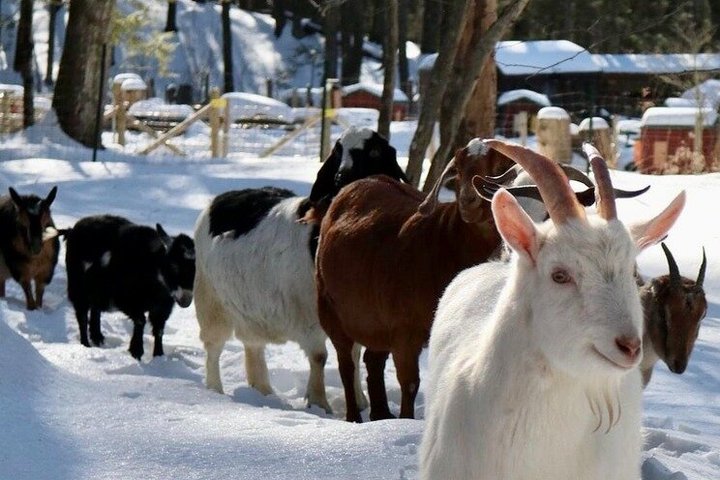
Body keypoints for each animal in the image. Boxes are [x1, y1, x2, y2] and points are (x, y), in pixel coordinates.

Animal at [64, 215, 195, 360]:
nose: (186, 300)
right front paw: (136, 351)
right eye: (173, 267)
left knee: (95, 309)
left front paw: (159, 355)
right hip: (77, 288)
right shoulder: (127, 300)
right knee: (82, 316)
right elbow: (141, 320)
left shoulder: (163, 307)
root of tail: (74, 228)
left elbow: (159, 329)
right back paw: (86, 344)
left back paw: (97, 337)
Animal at [193, 127, 407, 413]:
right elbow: (319, 356)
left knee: (253, 345)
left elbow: (353, 353)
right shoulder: (308, 315)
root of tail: (219, 199)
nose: (341, 177)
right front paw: (319, 403)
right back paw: (215, 389)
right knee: (213, 347)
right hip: (210, 300)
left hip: (251, 308)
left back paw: (263, 392)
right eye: (336, 151)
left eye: (374, 151)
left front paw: (360, 402)